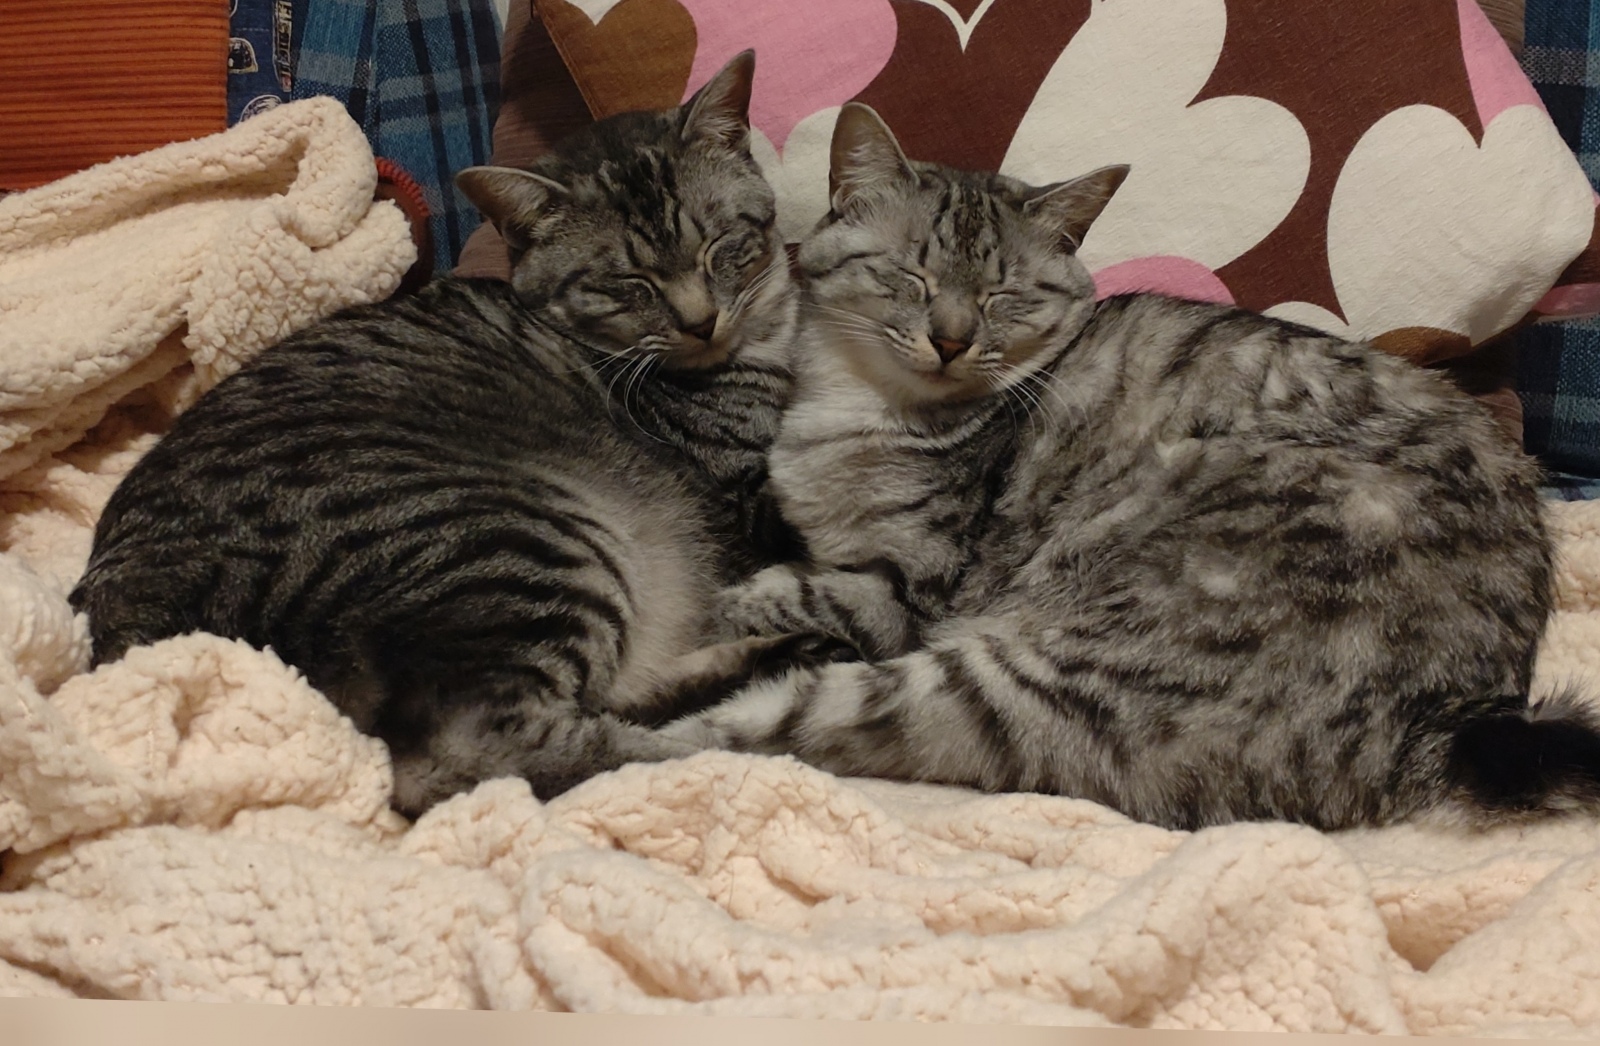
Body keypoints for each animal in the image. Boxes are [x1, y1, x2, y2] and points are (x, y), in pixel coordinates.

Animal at [70, 52, 818, 818]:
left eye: (721, 246)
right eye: (625, 283)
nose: (701, 322)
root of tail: (127, 633)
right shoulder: (745, 493)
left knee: (600, 697)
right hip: (525, 542)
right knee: (477, 755)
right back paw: (751, 735)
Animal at [656, 102, 1600, 832]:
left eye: (1005, 296)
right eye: (911, 277)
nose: (952, 339)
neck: (851, 411)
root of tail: (1464, 719)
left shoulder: (905, 588)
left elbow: (783, 588)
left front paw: (733, 601)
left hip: (1044, 665)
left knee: (742, 723)